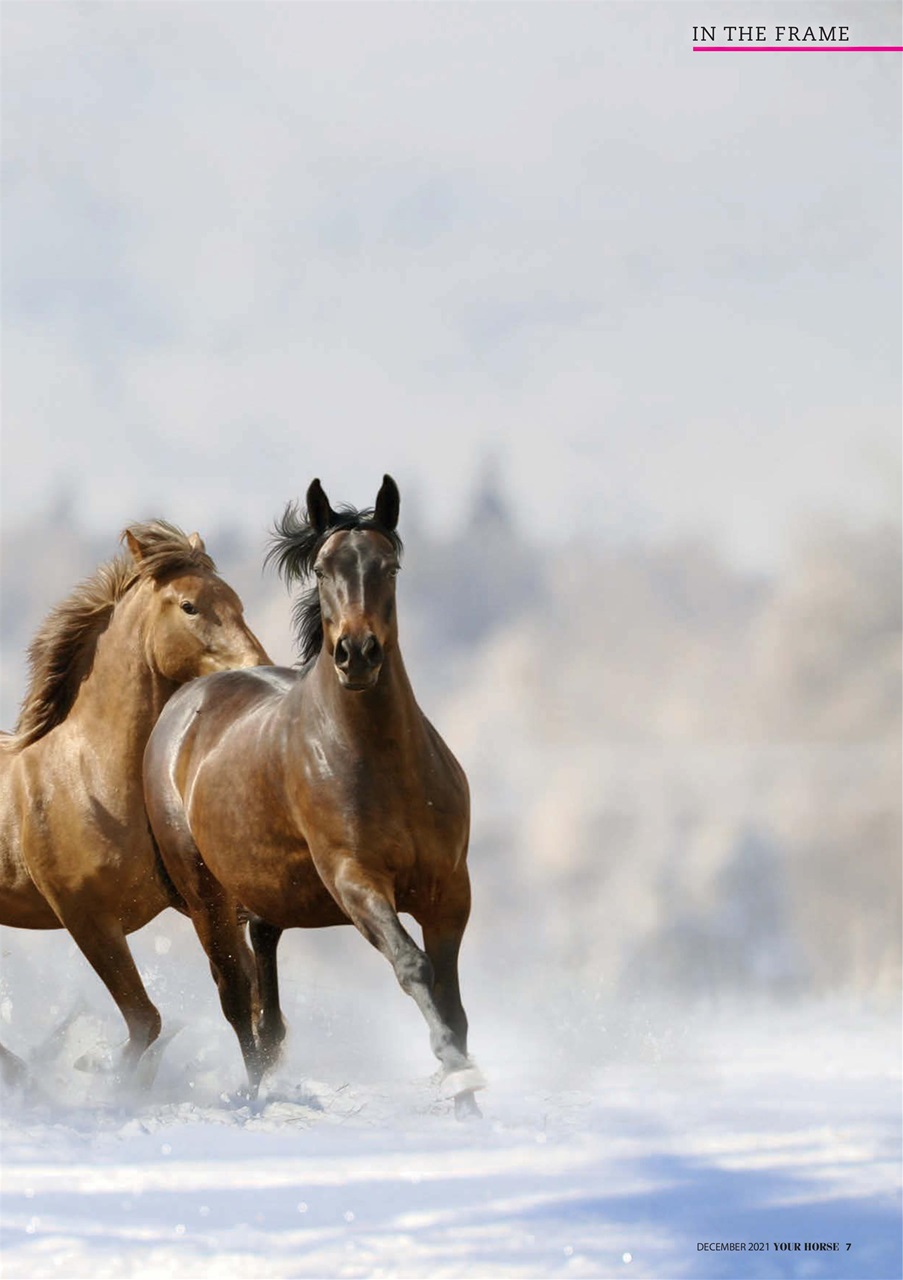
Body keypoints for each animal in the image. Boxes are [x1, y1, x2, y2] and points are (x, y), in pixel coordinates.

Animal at [0, 521, 270, 1079]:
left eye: (236, 601)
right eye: (189, 606)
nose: (259, 668)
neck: (91, 779)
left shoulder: (204, 905)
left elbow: (242, 996)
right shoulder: (87, 920)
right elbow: (146, 1020)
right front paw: (98, 1076)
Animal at [143, 476, 484, 1117]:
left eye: (389, 566)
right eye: (324, 569)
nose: (357, 653)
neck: (384, 764)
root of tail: (184, 703)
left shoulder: (449, 890)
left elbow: (453, 999)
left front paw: (469, 1101)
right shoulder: (354, 880)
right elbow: (413, 966)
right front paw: (457, 1074)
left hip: (266, 893)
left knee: (265, 989)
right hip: (206, 898)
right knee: (236, 996)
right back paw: (255, 1096)